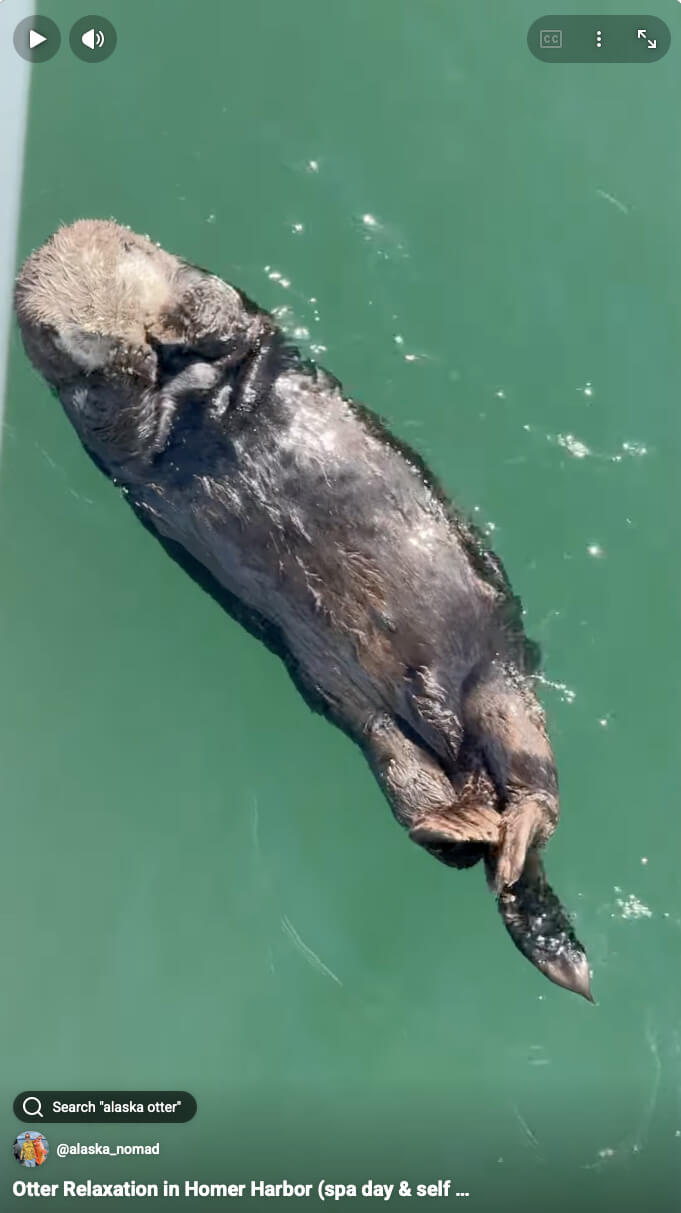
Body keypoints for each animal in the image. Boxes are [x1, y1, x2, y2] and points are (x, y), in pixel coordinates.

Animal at [14, 220, 591, 1000]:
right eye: (60, 334)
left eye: (133, 259)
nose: (120, 334)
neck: (181, 381)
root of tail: (461, 759)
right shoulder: (103, 423)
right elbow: (119, 414)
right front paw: (125, 359)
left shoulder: (230, 311)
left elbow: (217, 312)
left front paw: (164, 323)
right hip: (358, 713)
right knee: (421, 797)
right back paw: (466, 829)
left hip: (496, 683)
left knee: (537, 783)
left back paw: (511, 830)